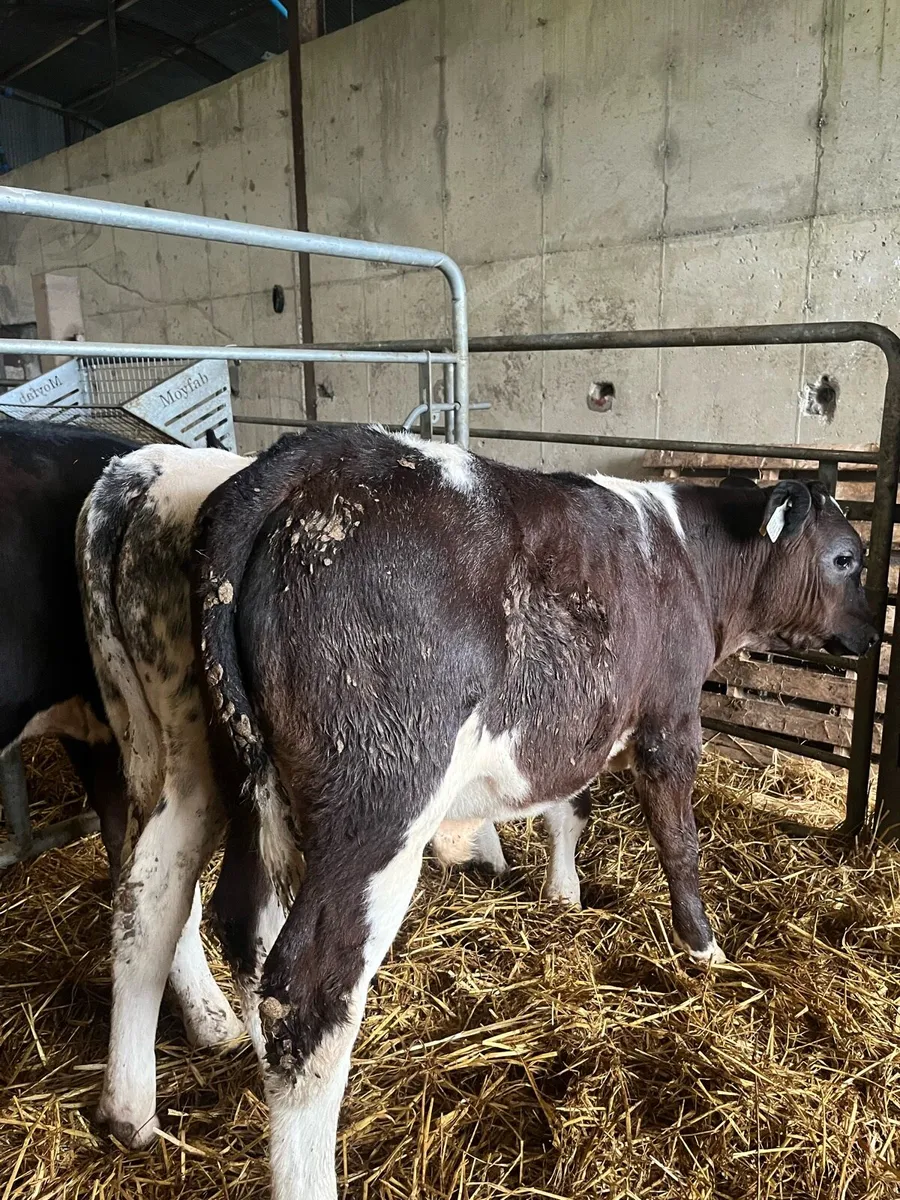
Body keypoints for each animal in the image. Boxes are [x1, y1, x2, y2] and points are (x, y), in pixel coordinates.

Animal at [78, 424, 874, 1199]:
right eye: (846, 558)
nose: (870, 638)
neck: (687, 554)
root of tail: (299, 462)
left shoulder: (571, 726)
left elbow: (567, 811)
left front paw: (564, 894)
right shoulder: (669, 723)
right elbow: (679, 844)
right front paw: (705, 950)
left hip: (197, 753)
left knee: (160, 898)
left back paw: (133, 1110)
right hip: (380, 801)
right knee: (305, 993)